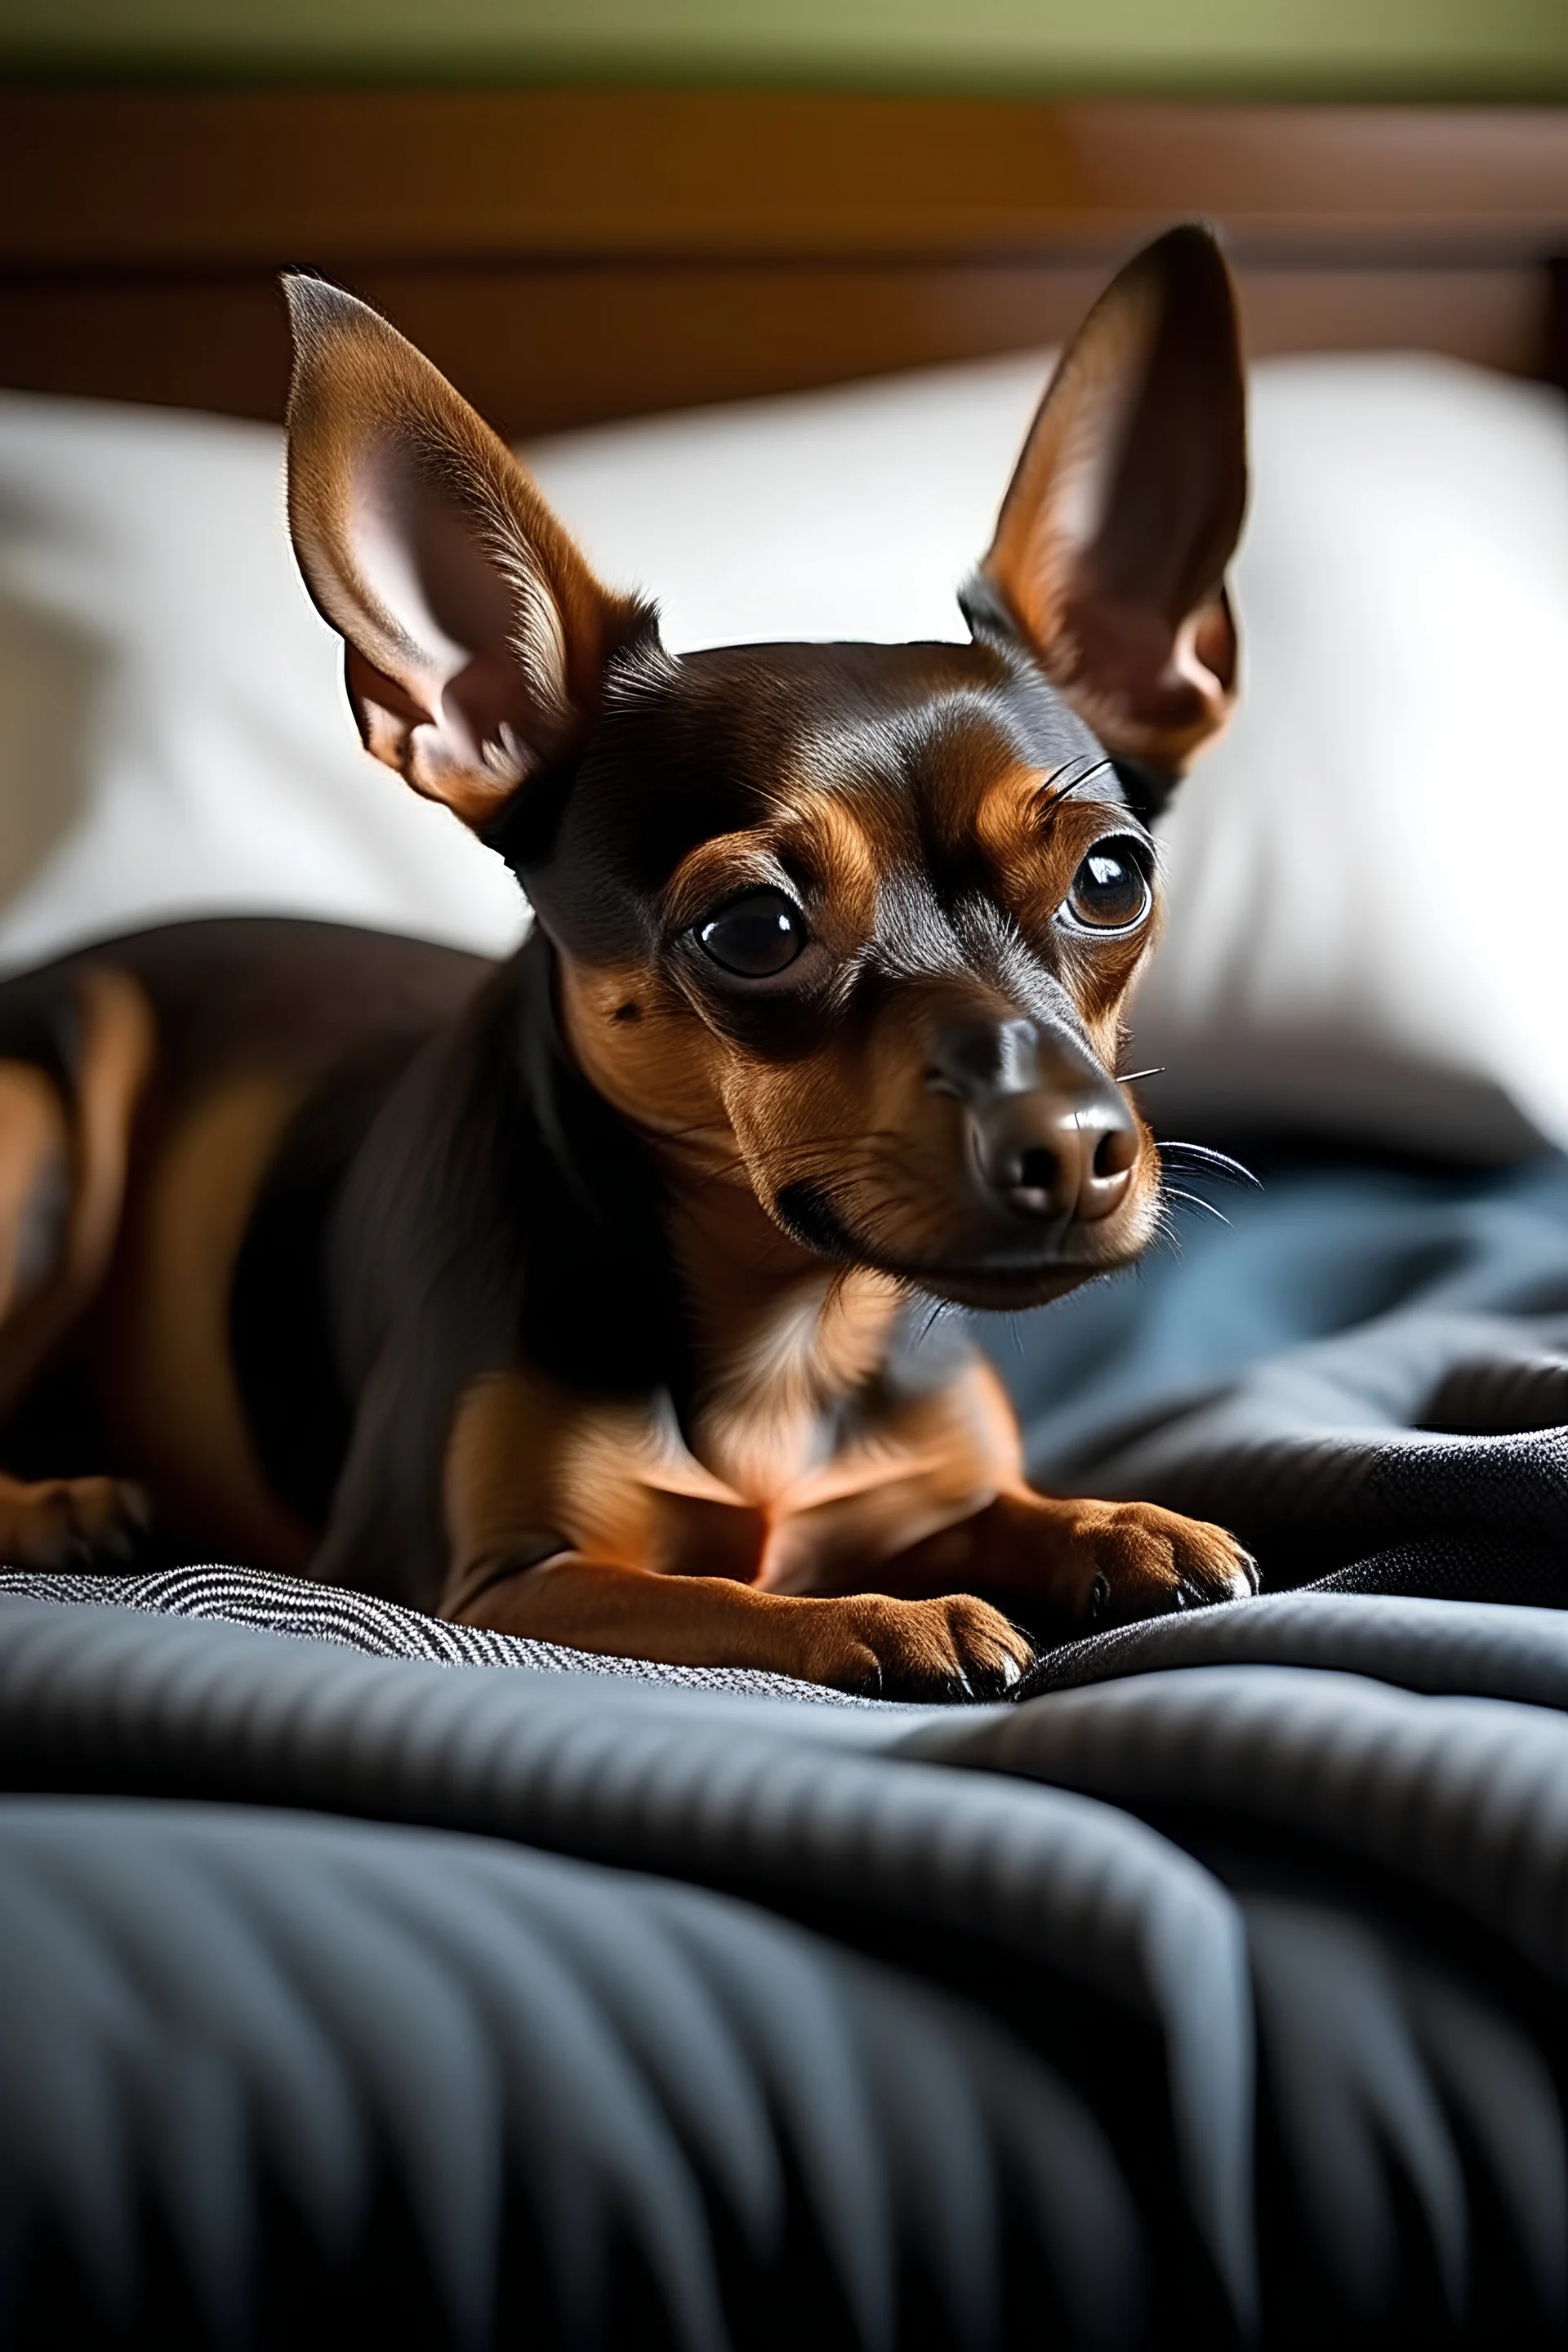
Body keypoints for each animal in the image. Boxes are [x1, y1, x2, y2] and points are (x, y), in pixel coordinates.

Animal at [0, 225, 1259, 1693]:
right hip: (47, 1114)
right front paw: (890, 1615)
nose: (1065, 1145)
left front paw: (1115, 1523)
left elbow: (994, 1506)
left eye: (1111, 882)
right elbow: (732, 1599)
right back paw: (60, 1502)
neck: (789, 1337)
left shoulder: (925, 1486)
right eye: (754, 932)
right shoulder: (482, 1585)